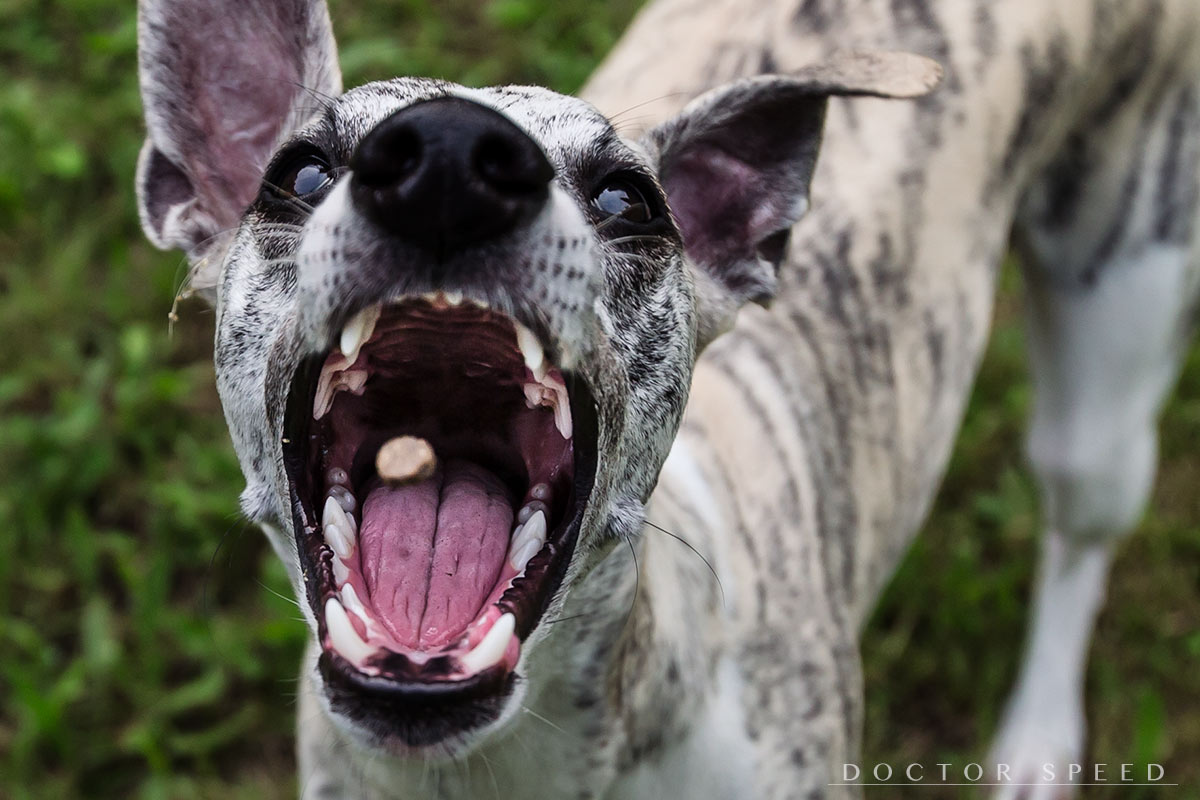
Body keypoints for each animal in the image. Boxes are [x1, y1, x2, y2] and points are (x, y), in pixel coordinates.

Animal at [133, 0, 1200, 796]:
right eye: (298, 172)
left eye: (627, 199)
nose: (446, 155)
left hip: (1115, 350)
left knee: (1078, 542)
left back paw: (1038, 741)